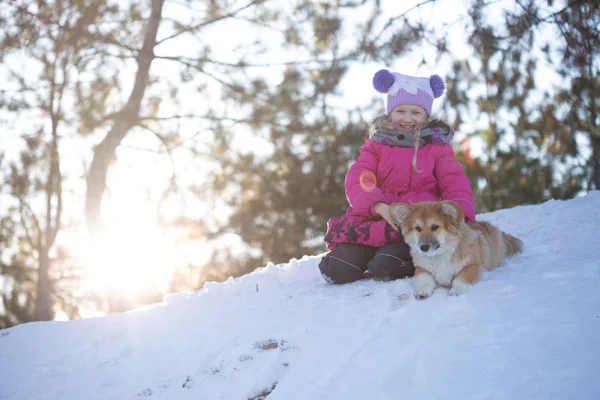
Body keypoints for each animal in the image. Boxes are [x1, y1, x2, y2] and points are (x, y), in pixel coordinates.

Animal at [392, 202, 524, 298]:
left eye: (434, 227)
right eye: (418, 228)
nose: (423, 248)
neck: (439, 255)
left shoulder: (472, 266)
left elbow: (461, 279)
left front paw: (456, 290)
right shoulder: (421, 269)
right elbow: (424, 278)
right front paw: (422, 290)